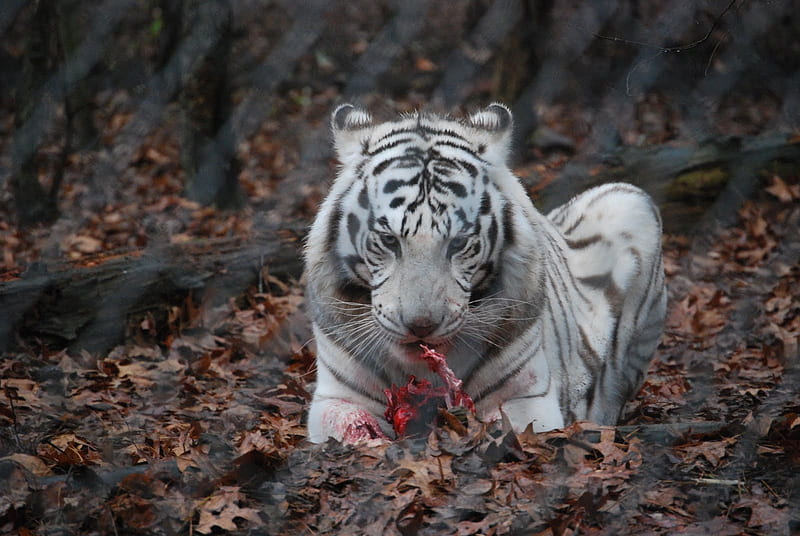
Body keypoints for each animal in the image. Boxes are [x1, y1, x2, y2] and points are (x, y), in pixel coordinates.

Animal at [304, 103, 664, 444]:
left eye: (458, 242)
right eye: (389, 240)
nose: (421, 326)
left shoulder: (528, 398)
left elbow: (507, 427)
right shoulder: (336, 397)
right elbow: (347, 425)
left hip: (628, 201)